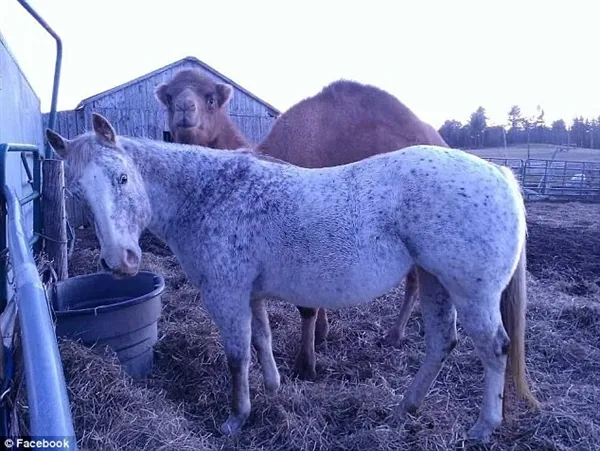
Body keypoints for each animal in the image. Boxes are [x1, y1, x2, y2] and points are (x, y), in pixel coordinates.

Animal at [155, 70, 450, 382]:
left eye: (210, 99)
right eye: (169, 98)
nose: (184, 108)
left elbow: (306, 306)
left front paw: (306, 364)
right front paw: (321, 335)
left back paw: (396, 335)